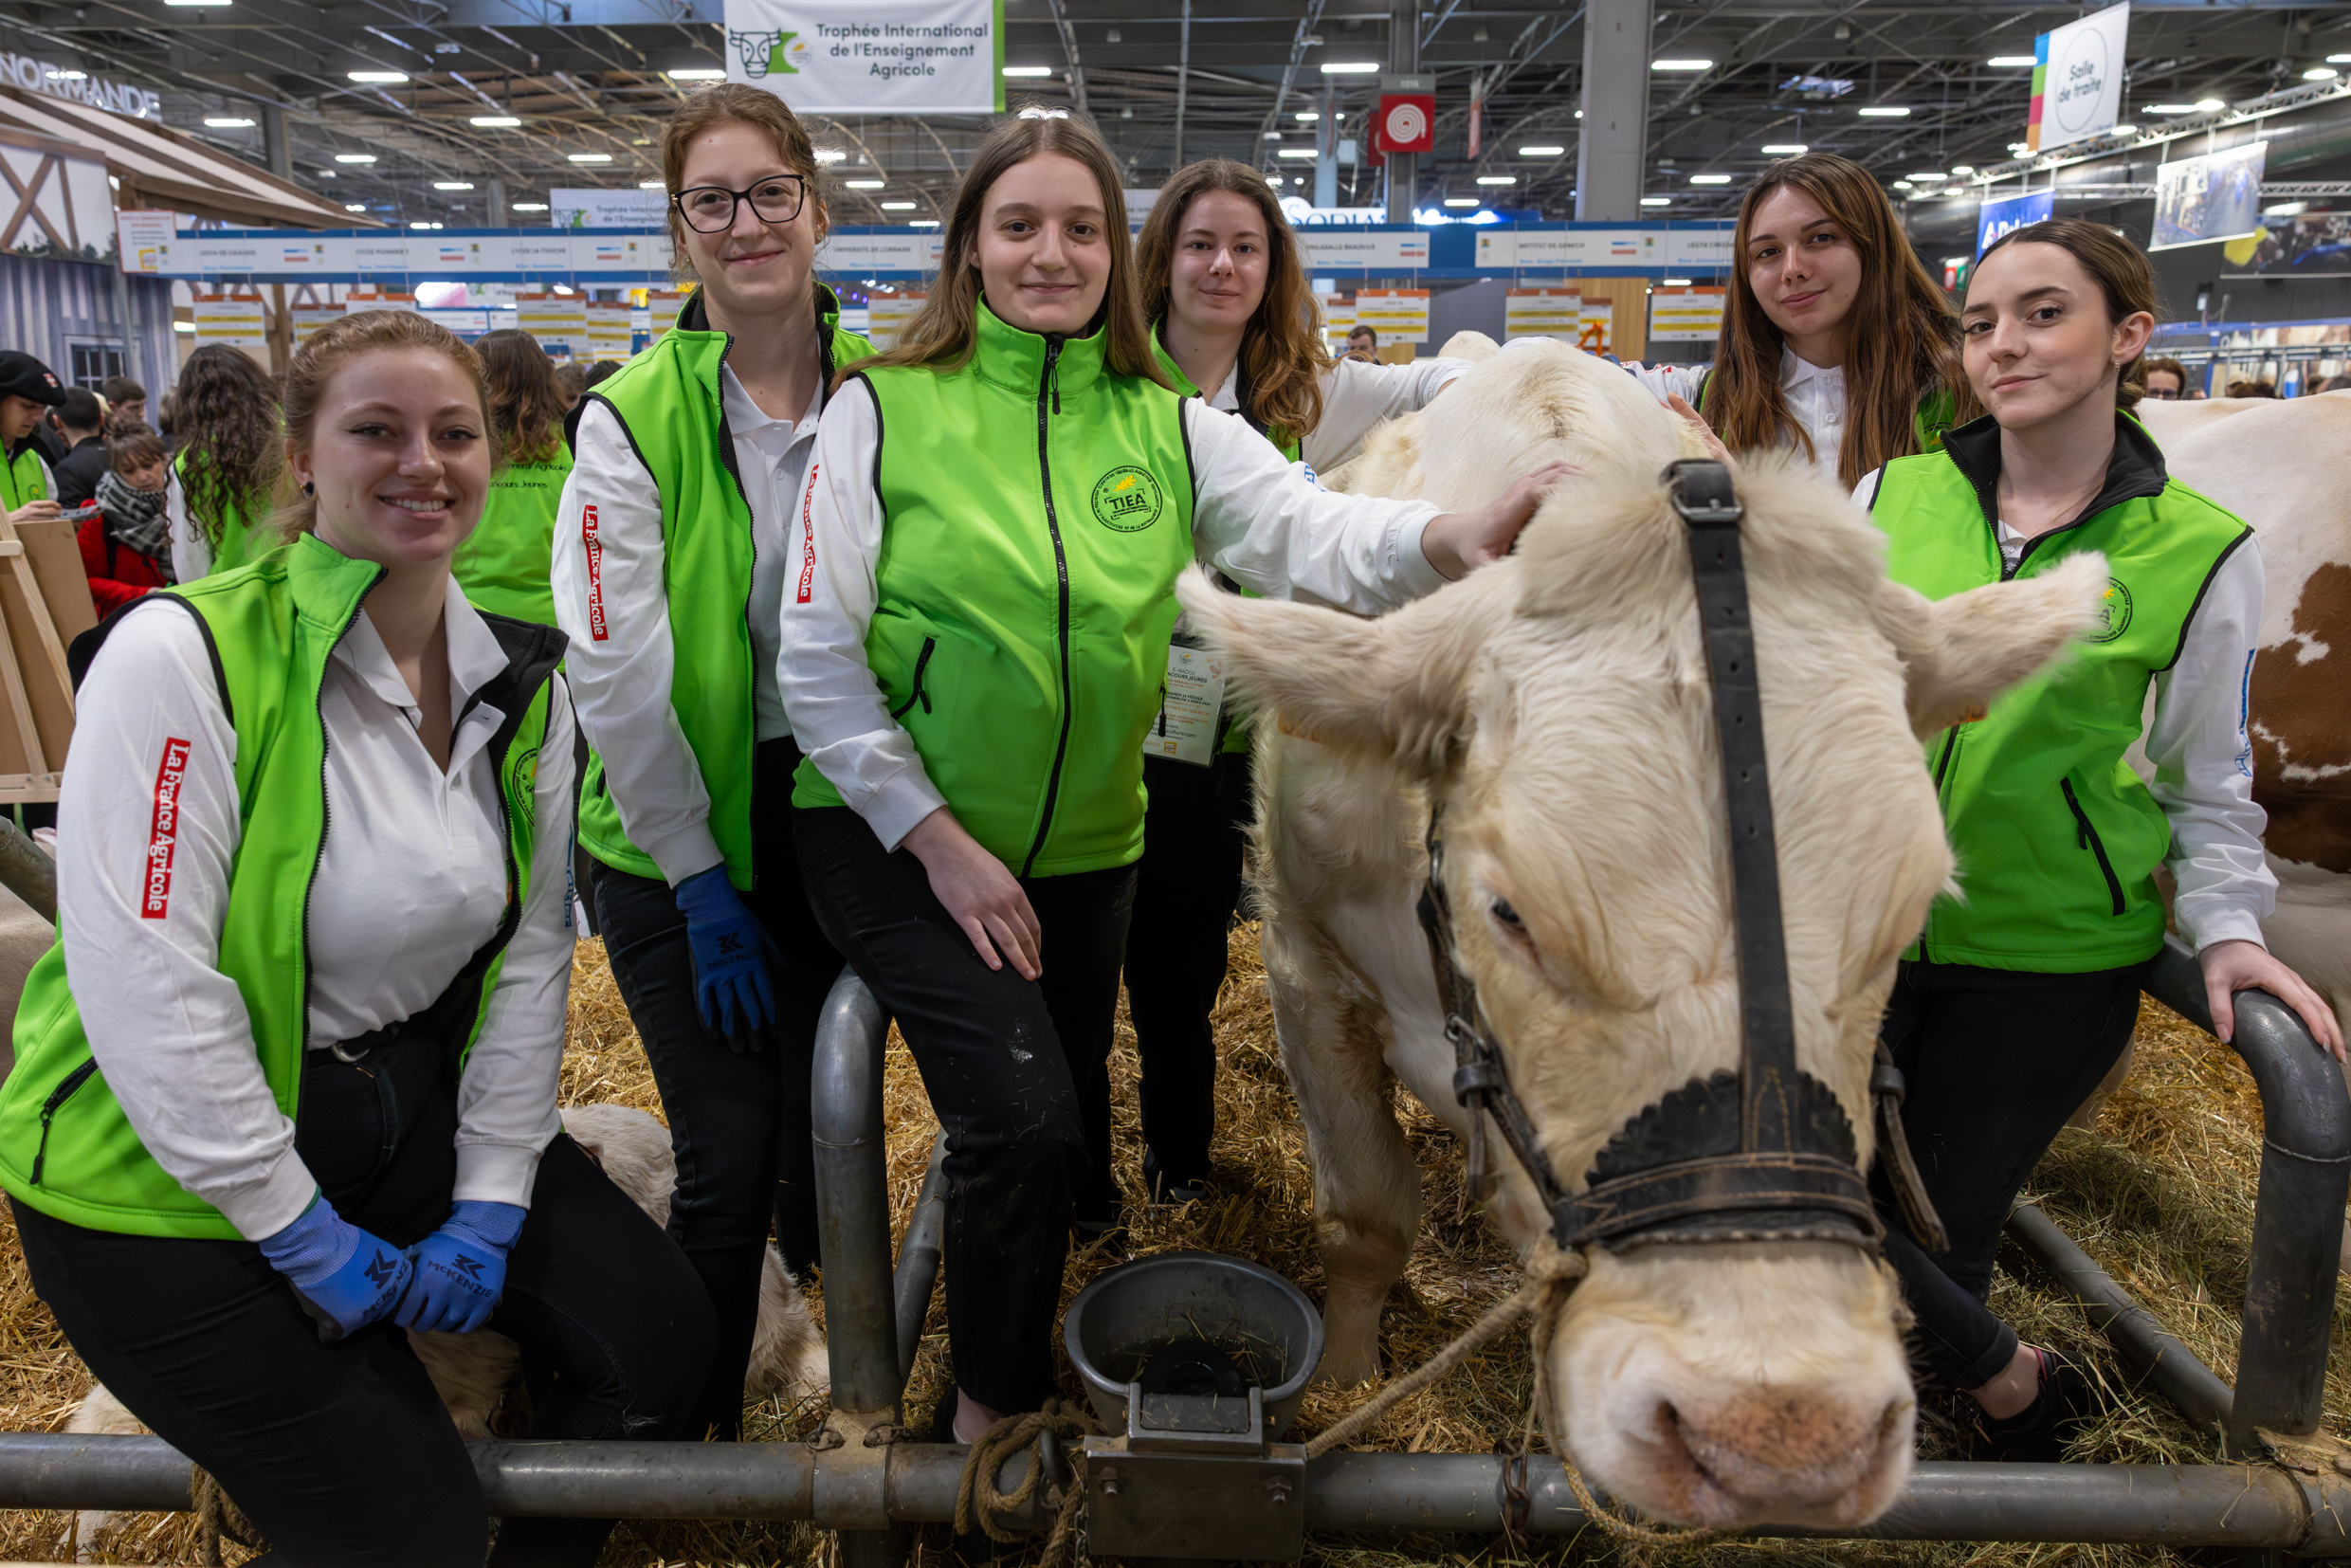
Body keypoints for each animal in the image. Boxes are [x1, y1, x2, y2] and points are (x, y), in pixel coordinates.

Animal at [1184, 334, 2106, 1532]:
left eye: (1907, 913)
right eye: (1511, 913)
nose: (1776, 1431)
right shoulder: (1305, 961)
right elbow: (1365, 1214)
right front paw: (1345, 1382)